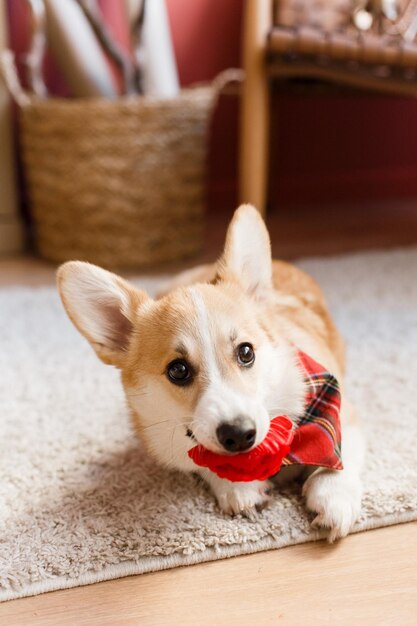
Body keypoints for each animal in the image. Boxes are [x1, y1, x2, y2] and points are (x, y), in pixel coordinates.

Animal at [57, 205, 364, 540]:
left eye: (246, 352)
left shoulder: (341, 410)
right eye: (178, 370)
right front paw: (238, 490)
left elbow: (337, 454)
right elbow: (204, 461)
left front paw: (333, 497)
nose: (239, 435)